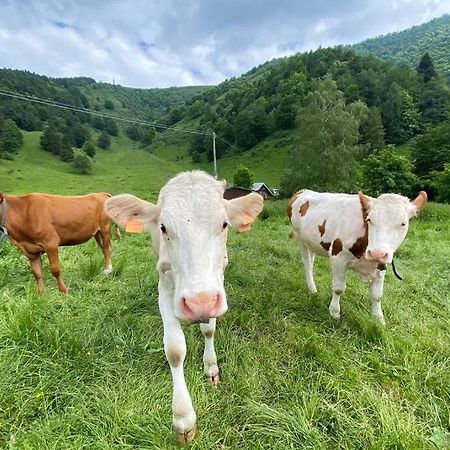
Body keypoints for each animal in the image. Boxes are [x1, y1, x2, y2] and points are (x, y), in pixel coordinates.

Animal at [104, 171, 264, 442]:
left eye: (224, 224)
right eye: (163, 228)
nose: (199, 303)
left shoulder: (216, 285)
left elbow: (209, 330)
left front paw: (211, 368)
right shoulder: (165, 288)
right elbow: (175, 350)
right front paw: (183, 419)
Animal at [288, 189, 426, 324]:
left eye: (403, 224)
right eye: (369, 220)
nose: (376, 253)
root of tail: (303, 191)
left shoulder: (381, 264)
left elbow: (377, 294)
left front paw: (378, 319)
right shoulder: (338, 258)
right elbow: (338, 288)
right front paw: (334, 312)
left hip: (312, 242)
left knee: (311, 260)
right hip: (300, 238)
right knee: (307, 263)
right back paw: (312, 288)